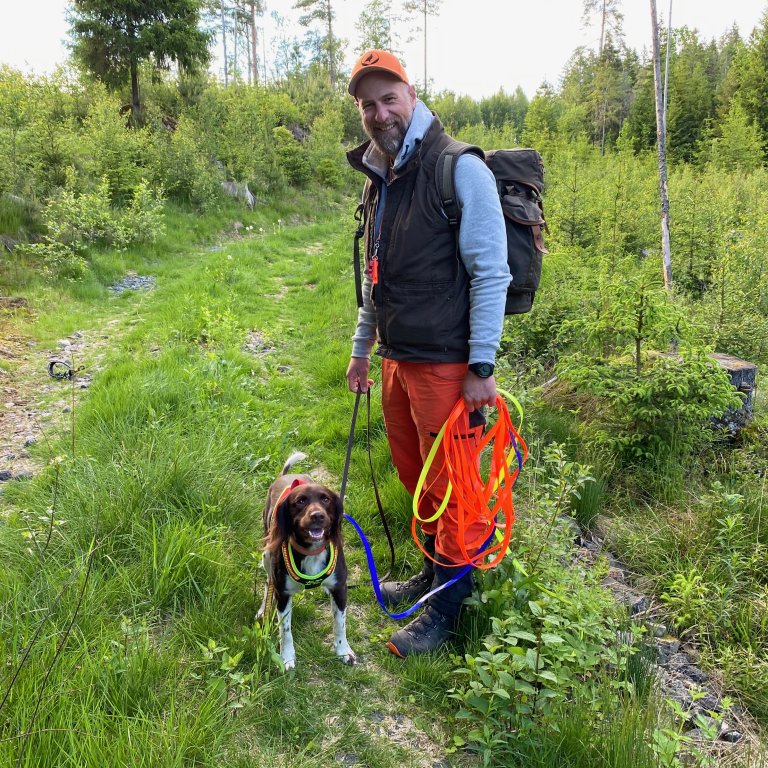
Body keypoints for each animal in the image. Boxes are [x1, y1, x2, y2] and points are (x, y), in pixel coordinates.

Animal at [256, 452, 356, 668]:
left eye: (325, 499)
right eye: (300, 501)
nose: (317, 516)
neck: (311, 551)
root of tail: (285, 475)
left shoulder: (339, 588)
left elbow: (340, 623)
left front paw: (343, 651)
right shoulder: (283, 594)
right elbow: (285, 631)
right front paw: (286, 658)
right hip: (267, 555)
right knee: (268, 583)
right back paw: (262, 610)